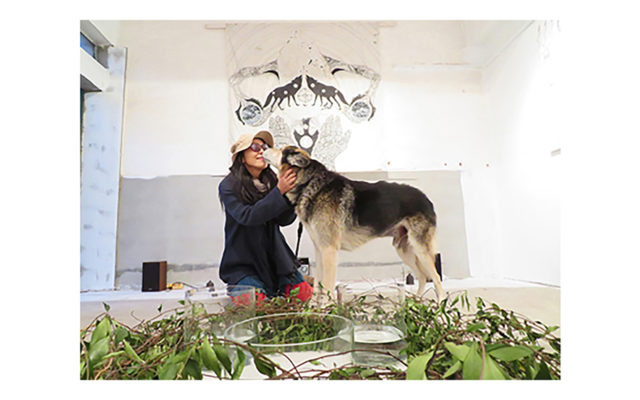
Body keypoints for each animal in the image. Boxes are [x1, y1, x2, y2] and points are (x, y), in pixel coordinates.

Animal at [263, 146, 445, 302]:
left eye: (279, 149)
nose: (263, 148)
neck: (309, 183)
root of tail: (426, 199)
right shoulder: (320, 250)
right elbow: (317, 287)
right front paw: (313, 309)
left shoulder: (329, 250)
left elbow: (327, 287)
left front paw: (327, 309)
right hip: (404, 249)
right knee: (422, 277)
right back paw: (413, 305)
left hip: (420, 250)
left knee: (436, 278)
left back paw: (440, 307)